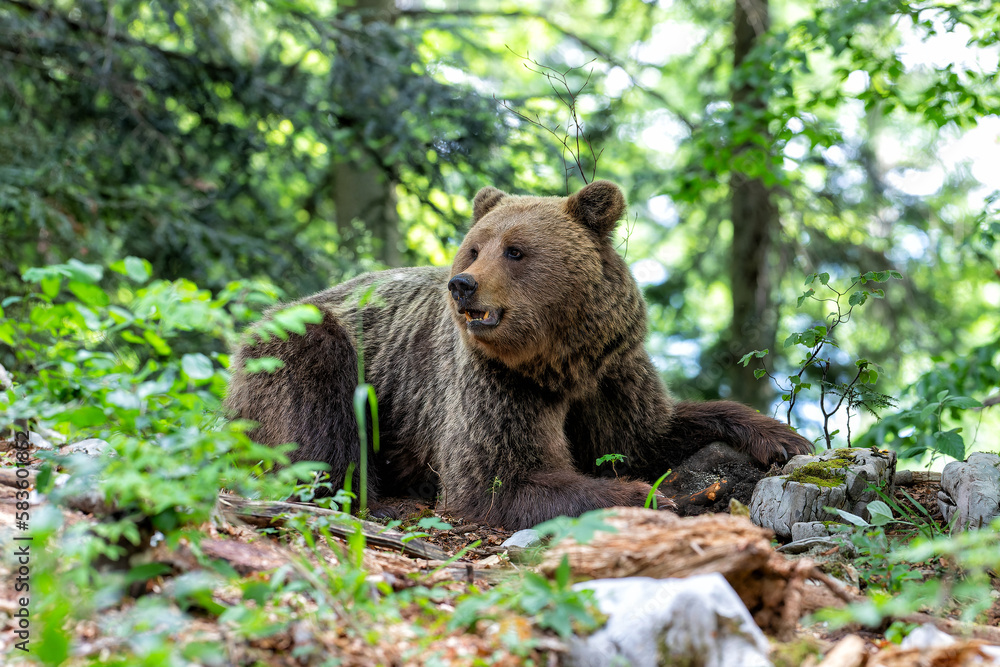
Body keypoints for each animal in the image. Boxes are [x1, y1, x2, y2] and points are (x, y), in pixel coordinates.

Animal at [225, 180, 813, 529]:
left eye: (515, 250)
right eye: (474, 247)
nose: (462, 285)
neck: (560, 362)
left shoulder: (613, 373)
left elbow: (648, 434)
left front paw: (781, 438)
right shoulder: (495, 383)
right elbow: (498, 479)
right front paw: (646, 496)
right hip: (304, 351)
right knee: (319, 422)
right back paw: (383, 499)